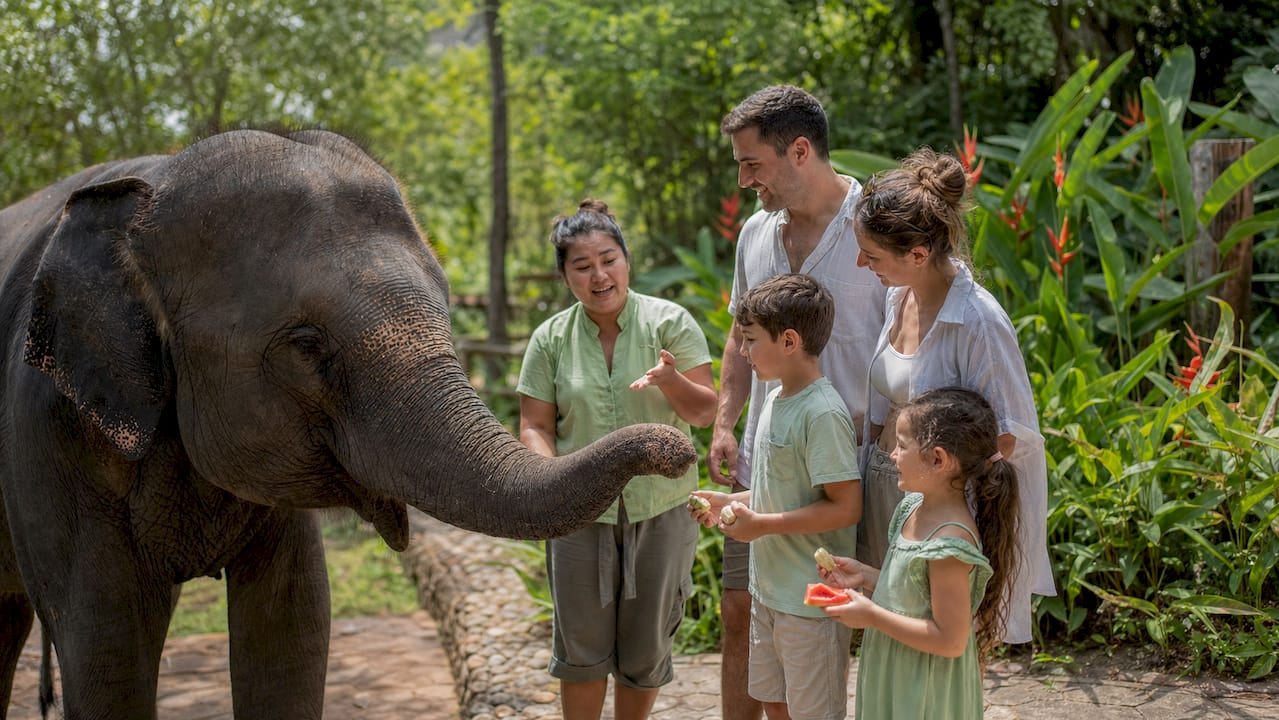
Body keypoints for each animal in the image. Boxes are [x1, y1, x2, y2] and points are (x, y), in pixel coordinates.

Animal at [0, 129, 697, 719]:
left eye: (448, 307)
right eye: (306, 345)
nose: (678, 451)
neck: (156, 180)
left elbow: (295, 626)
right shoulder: (49, 432)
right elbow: (106, 646)